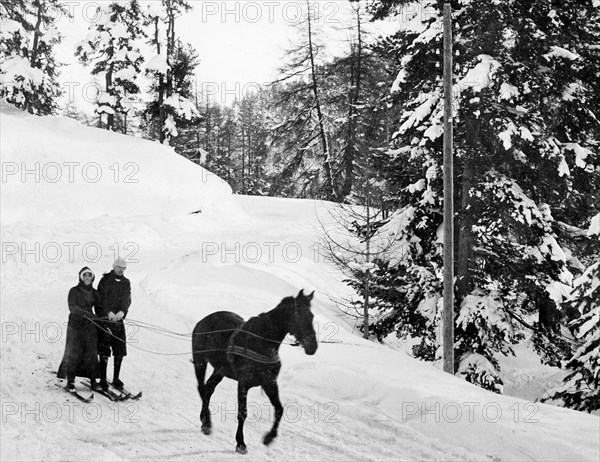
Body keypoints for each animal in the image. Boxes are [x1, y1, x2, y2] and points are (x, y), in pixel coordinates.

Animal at [192, 290, 318, 452]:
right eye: (299, 316)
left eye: (312, 316)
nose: (312, 346)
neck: (263, 343)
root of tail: (203, 320)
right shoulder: (243, 383)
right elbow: (242, 413)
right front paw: (240, 443)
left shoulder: (269, 383)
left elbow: (279, 409)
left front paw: (269, 437)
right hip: (200, 362)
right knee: (201, 388)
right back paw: (206, 422)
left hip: (220, 370)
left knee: (208, 389)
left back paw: (206, 422)